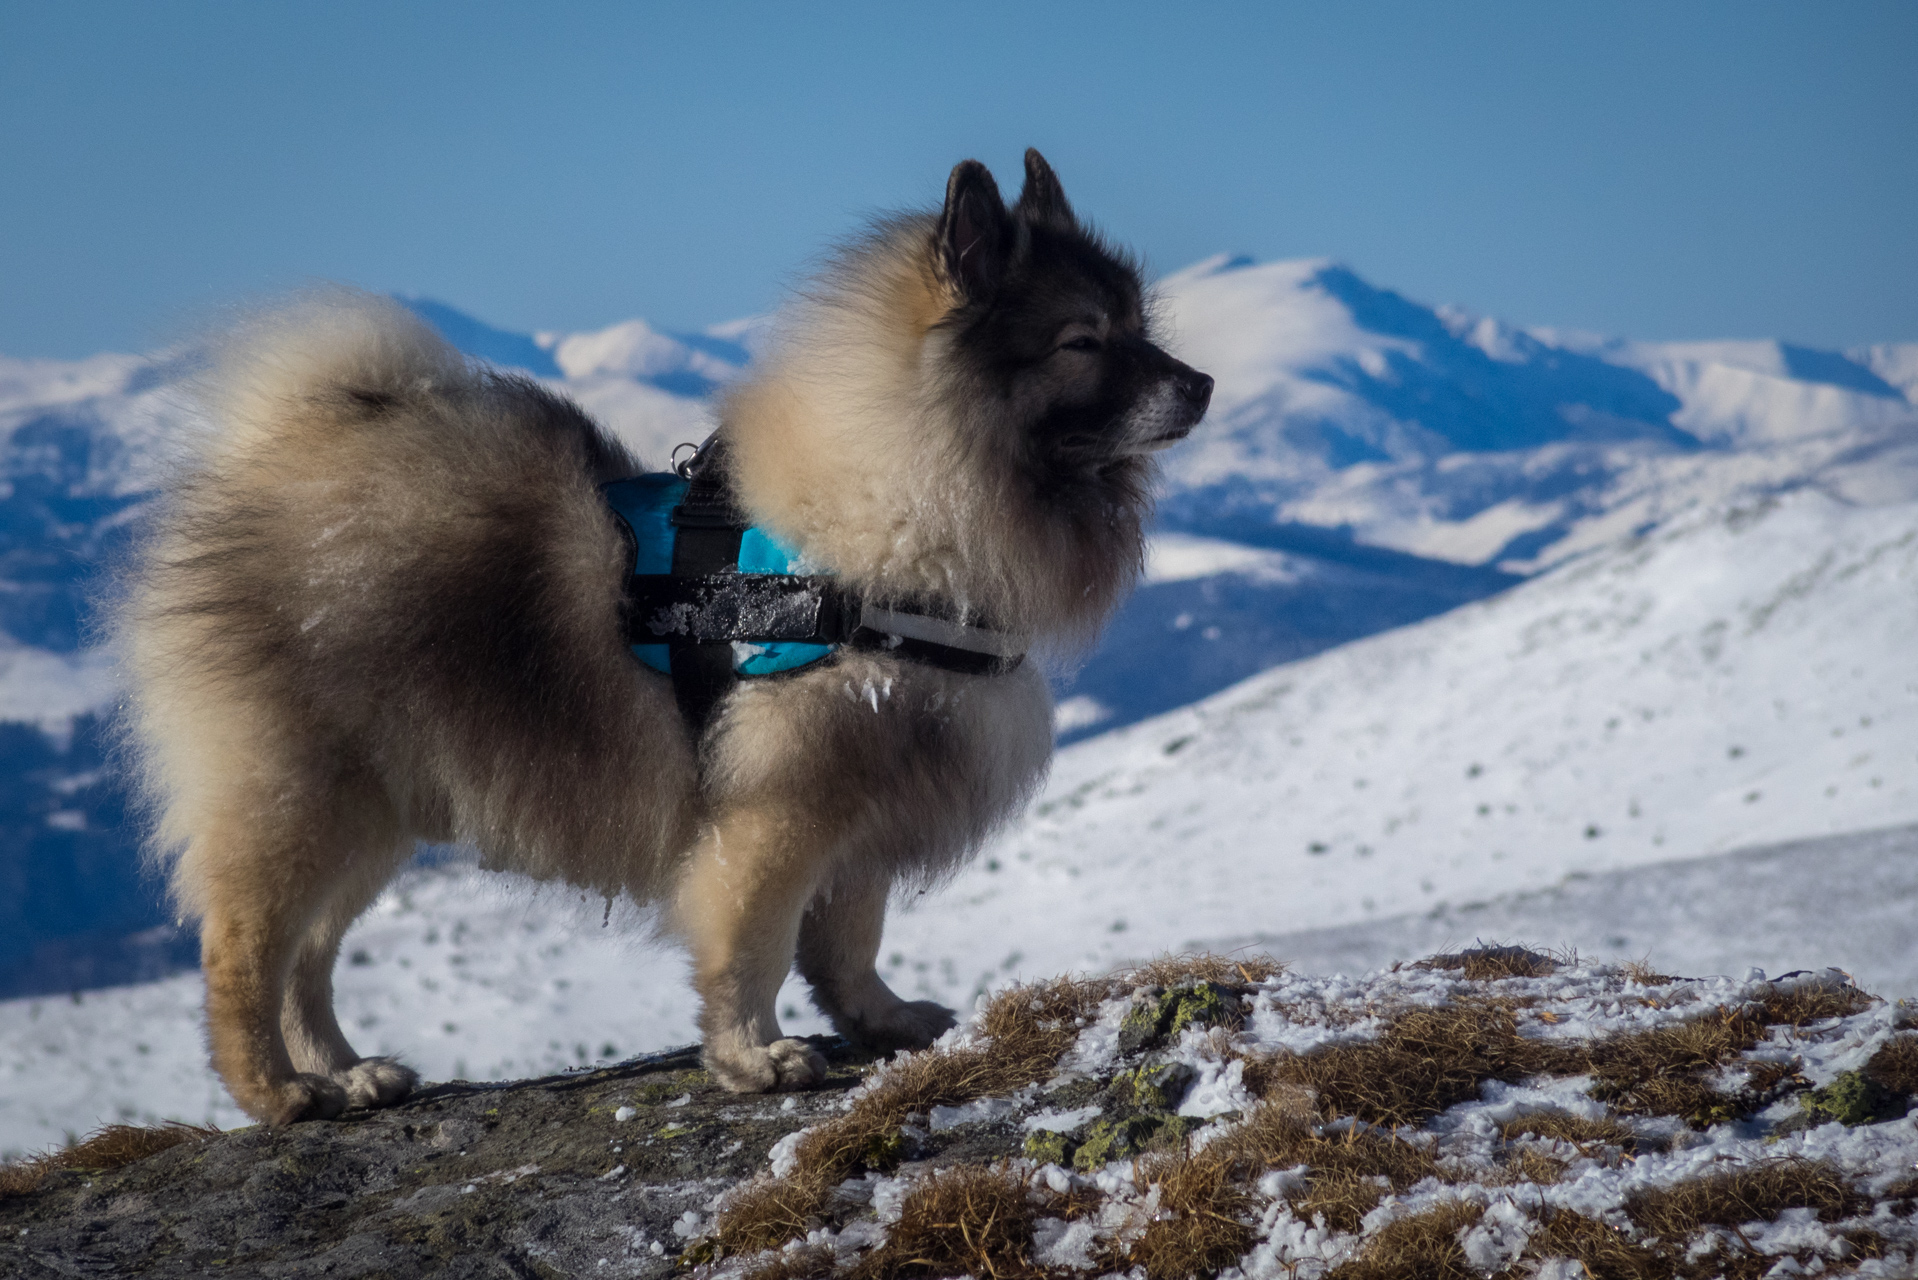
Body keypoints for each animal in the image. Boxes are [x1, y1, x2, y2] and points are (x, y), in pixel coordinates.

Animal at [116, 150, 1212, 1120]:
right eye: (1082, 341)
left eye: (1139, 326)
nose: (1200, 383)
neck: (892, 514)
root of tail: (288, 451)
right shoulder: (777, 812)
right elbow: (753, 946)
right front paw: (756, 1056)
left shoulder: (863, 806)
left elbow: (851, 941)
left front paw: (881, 1018)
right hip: (303, 799)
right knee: (244, 953)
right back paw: (278, 1092)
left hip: (375, 810)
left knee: (308, 957)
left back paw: (346, 1074)